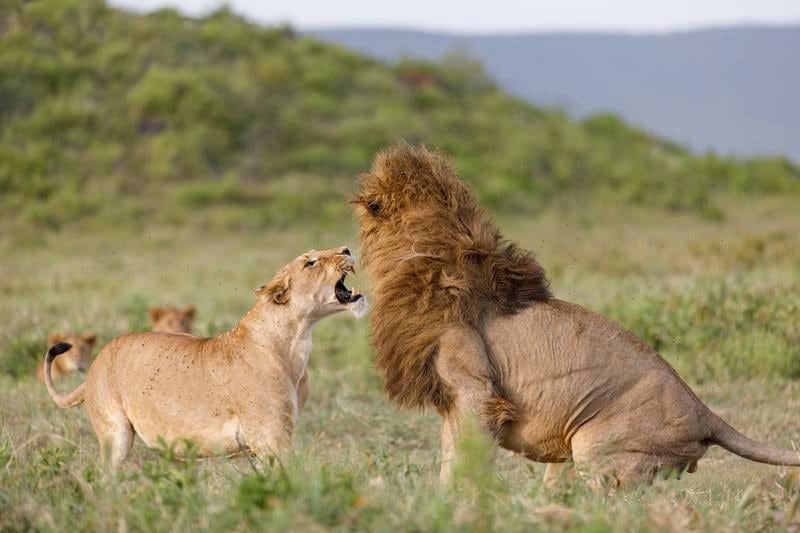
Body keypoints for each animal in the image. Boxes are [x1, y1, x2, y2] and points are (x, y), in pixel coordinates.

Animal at [43, 246, 366, 466]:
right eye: (311, 262)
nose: (347, 250)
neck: (296, 340)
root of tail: (95, 364)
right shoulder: (270, 436)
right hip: (116, 436)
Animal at [356, 144, 800, 486]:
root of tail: (706, 414)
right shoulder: (453, 403)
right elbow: (450, 457)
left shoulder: (476, 392)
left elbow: (464, 464)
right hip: (570, 455)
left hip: (599, 447)